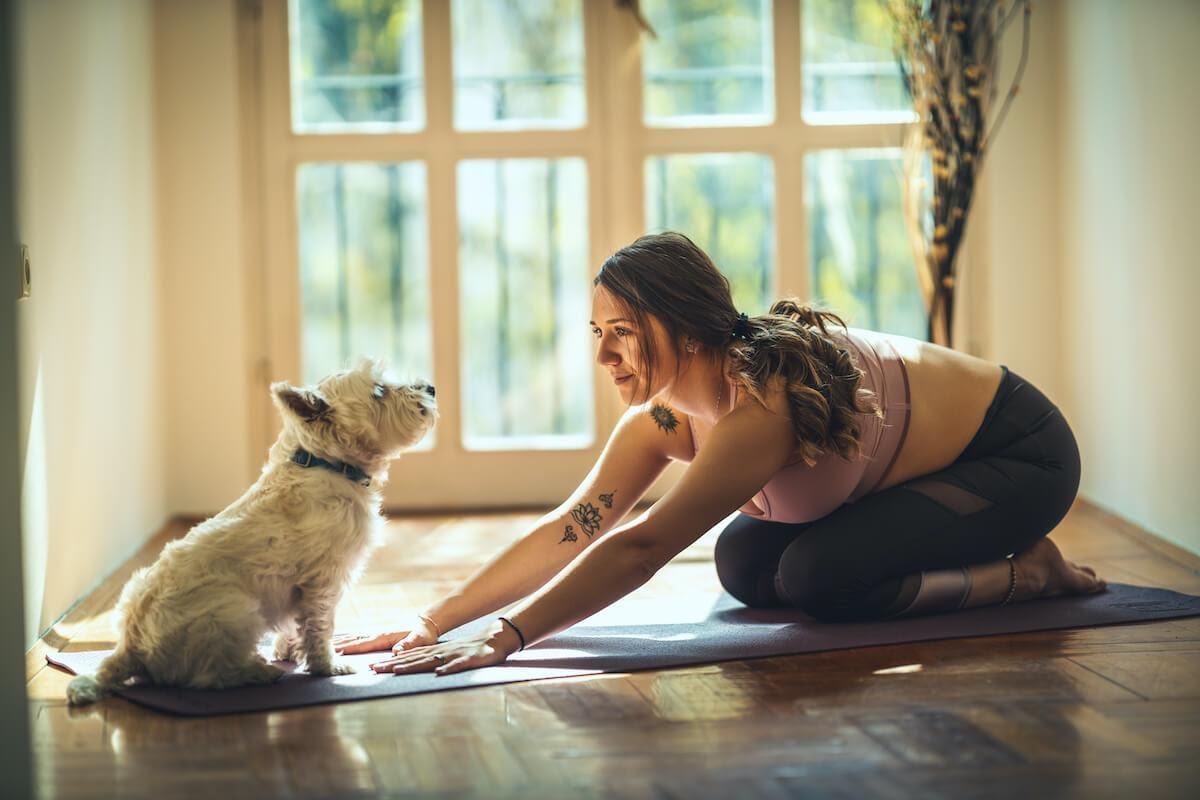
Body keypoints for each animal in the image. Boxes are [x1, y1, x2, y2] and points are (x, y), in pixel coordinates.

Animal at [66, 359, 436, 705]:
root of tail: (132, 645)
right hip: (234, 608)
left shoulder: (297, 587)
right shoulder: (323, 579)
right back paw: (256, 672)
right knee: (207, 676)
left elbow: (294, 624)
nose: (430, 388)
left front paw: (288, 650)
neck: (325, 462)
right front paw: (326, 666)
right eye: (379, 391)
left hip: (142, 589)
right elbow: (319, 626)